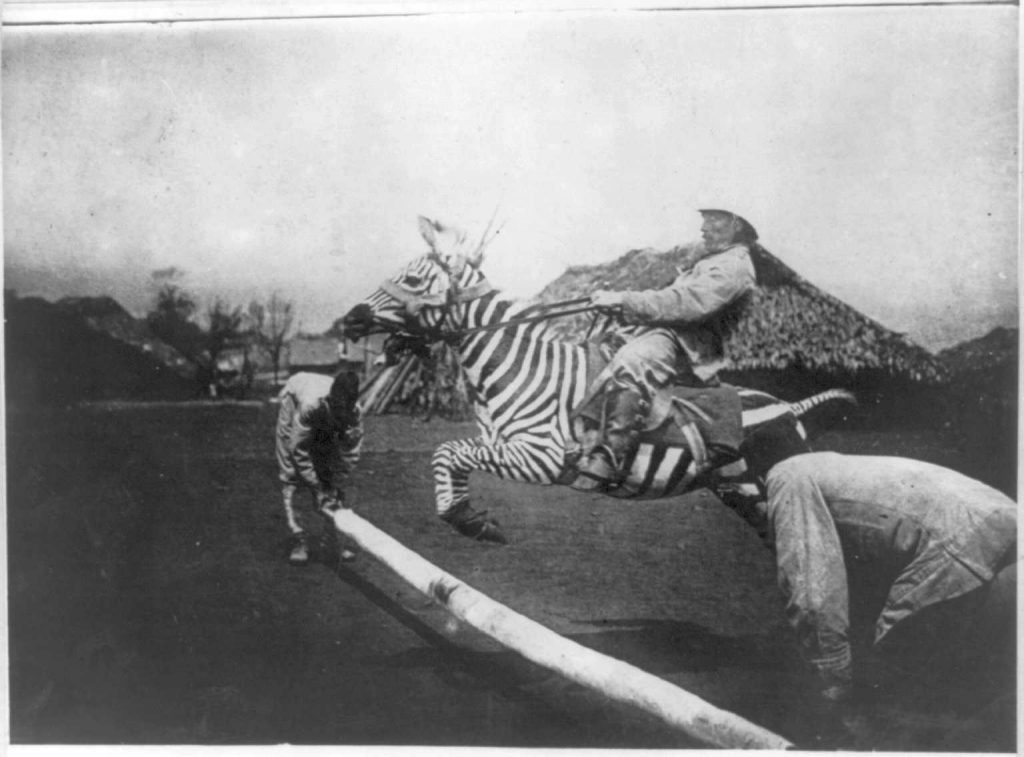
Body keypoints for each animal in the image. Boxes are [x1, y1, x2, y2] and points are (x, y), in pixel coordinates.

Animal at [344, 216, 856, 540]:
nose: (351, 319)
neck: (523, 369)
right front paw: (467, 517)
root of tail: (790, 406)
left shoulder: (542, 458)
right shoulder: (498, 446)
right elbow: (448, 455)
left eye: (412, 281)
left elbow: (449, 450)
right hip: (746, 495)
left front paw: (466, 518)